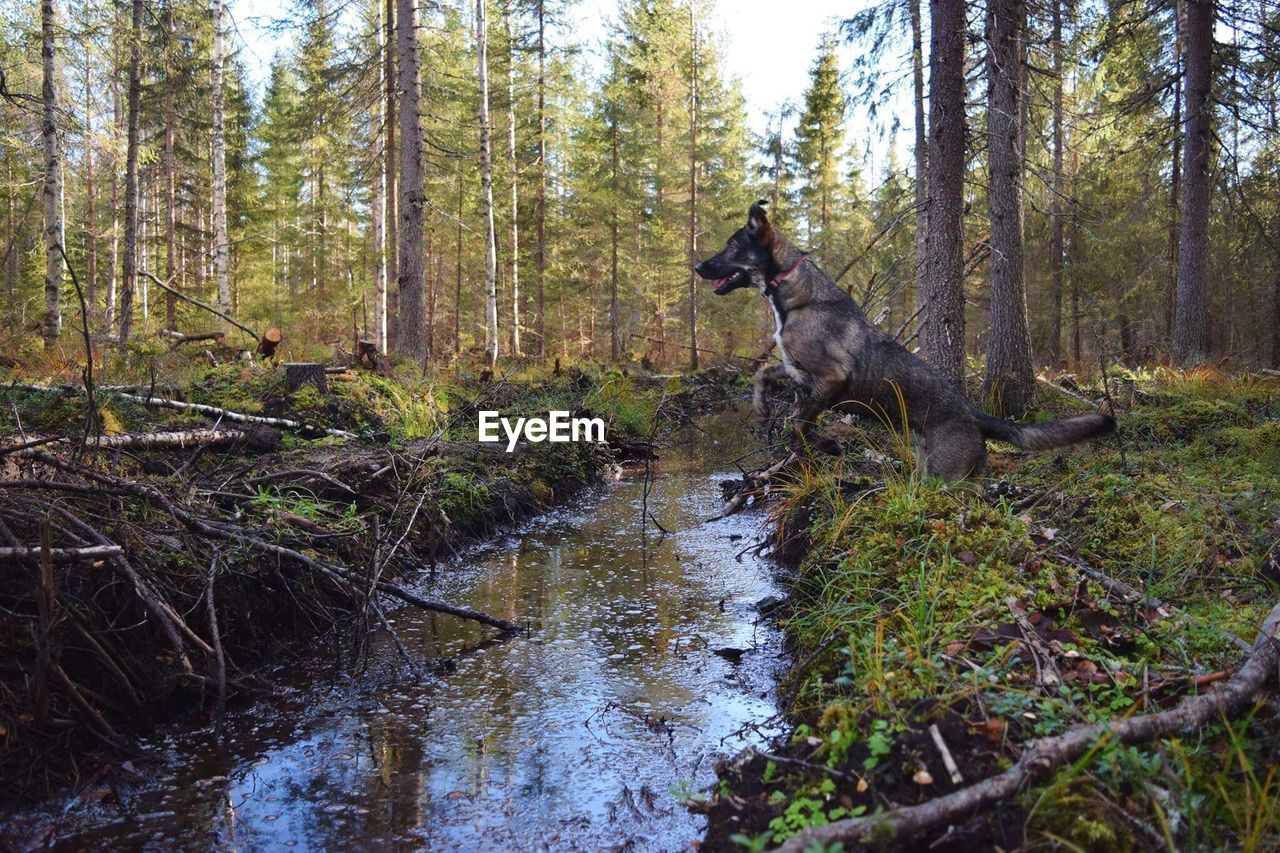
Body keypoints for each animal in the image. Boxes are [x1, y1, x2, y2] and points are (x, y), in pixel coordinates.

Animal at [696, 199, 1116, 479]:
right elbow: (763, 376)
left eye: (732, 247)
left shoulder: (832, 375)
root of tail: (974, 415)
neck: (795, 295)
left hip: (948, 474)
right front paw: (762, 408)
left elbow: (799, 424)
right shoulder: (798, 371)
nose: (697, 266)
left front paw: (826, 444)